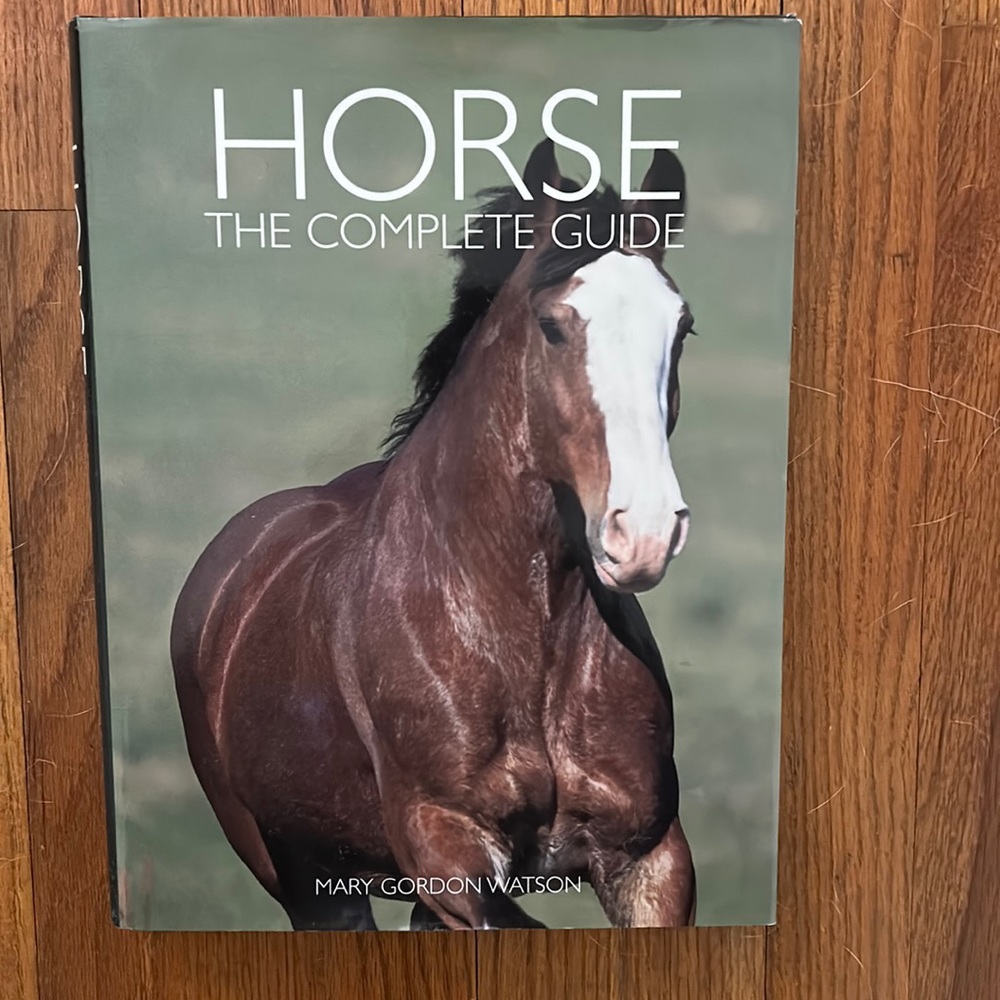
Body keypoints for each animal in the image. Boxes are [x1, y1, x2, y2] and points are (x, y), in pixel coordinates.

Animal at [170, 138, 698, 931]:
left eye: (683, 327)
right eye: (553, 325)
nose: (645, 532)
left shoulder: (649, 859)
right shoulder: (445, 847)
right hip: (307, 878)